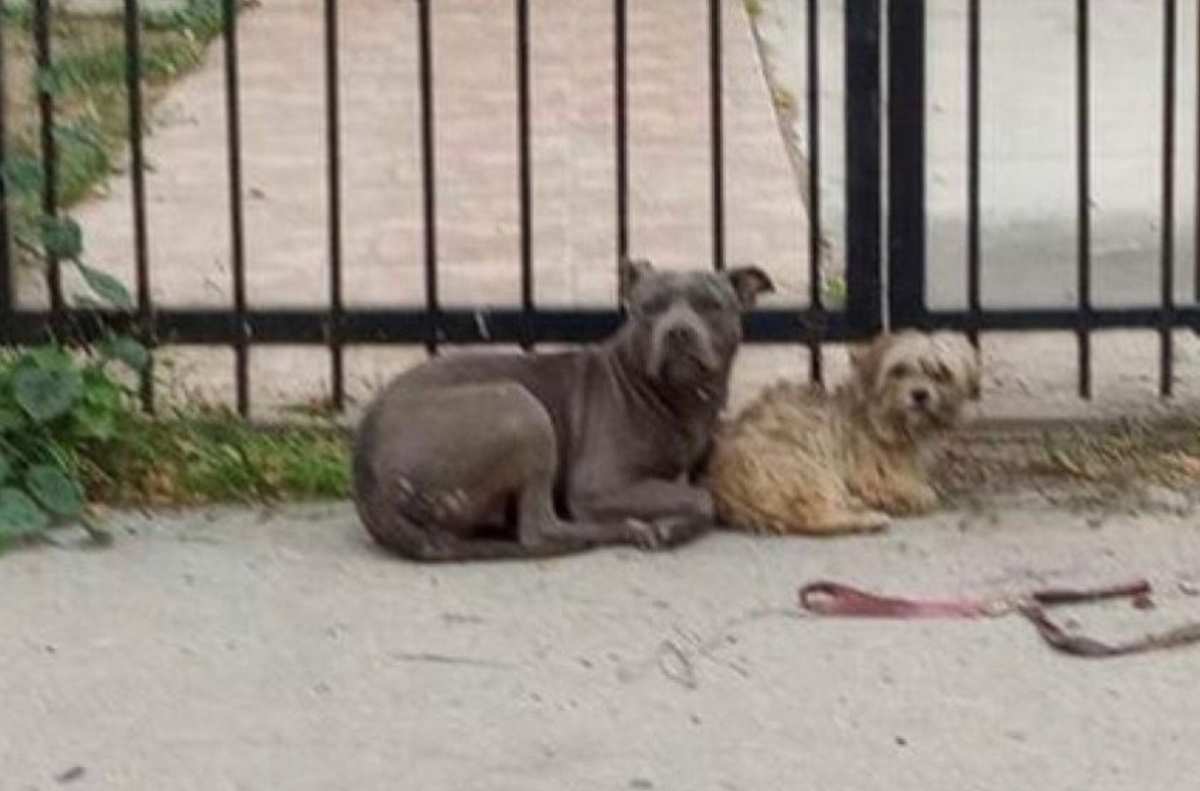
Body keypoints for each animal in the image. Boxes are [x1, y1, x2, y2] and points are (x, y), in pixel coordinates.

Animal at [350, 260, 772, 564]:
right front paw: (670, 526)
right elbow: (703, 499)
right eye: (649, 308)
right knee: (540, 529)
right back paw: (623, 530)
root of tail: (368, 479)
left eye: (710, 305)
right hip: (520, 407)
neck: (673, 395)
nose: (678, 331)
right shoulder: (599, 485)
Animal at [705, 331, 979, 535]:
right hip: (803, 466)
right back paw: (868, 519)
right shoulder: (874, 473)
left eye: (940, 373)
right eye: (899, 370)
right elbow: (922, 493)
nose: (920, 395)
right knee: (811, 515)